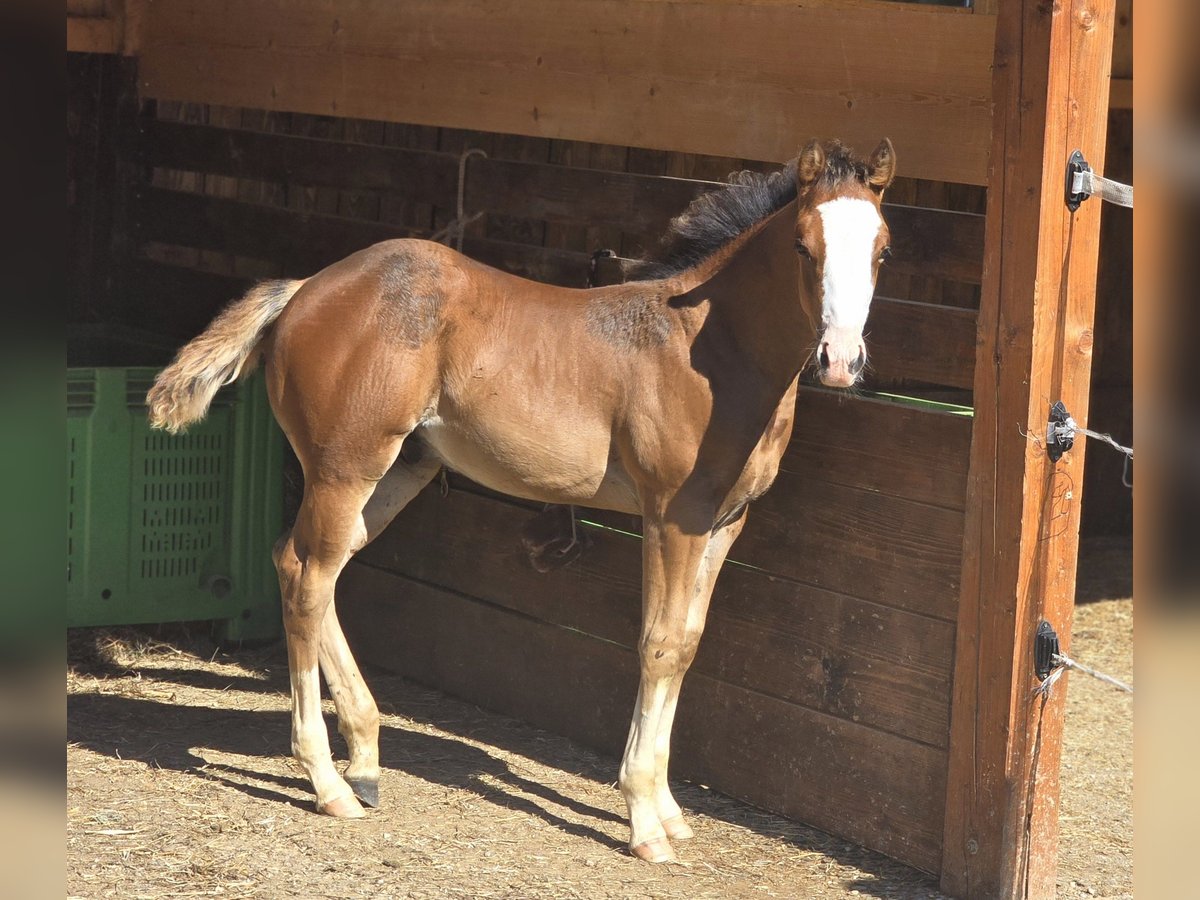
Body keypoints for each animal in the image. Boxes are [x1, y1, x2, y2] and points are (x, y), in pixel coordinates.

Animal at [146, 137, 895, 863]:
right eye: (802, 244)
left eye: (883, 249)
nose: (841, 361)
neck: (710, 352)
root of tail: (303, 289)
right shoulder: (672, 517)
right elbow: (656, 645)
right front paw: (644, 821)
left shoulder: (726, 523)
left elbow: (686, 644)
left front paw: (672, 812)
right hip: (346, 468)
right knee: (306, 577)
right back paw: (329, 782)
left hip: (398, 470)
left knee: (305, 565)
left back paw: (364, 759)